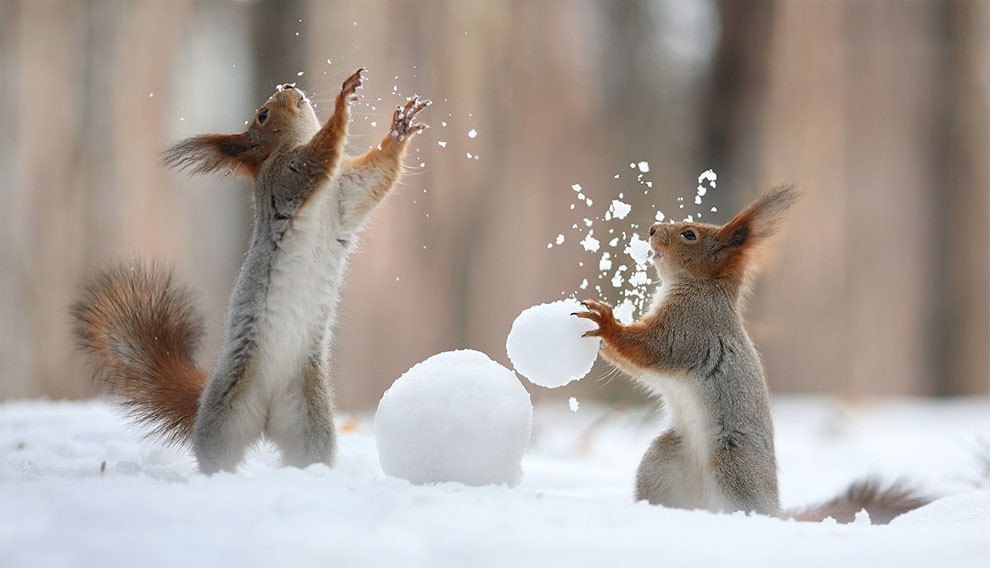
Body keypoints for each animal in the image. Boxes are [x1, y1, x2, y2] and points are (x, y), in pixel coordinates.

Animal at [73, 67, 430, 474]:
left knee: (307, 450)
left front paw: (400, 127)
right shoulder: (288, 175)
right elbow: (321, 153)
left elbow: (376, 176)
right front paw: (343, 101)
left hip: (309, 419)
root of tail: (267, 416)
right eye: (262, 115)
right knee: (216, 453)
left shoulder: (346, 196)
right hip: (226, 415)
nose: (288, 86)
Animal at [576, 186, 932, 524]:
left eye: (689, 235)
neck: (705, 288)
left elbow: (649, 349)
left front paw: (606, 324)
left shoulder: (689, 329)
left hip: (734, 465)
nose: (651, 229)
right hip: (663, 459)